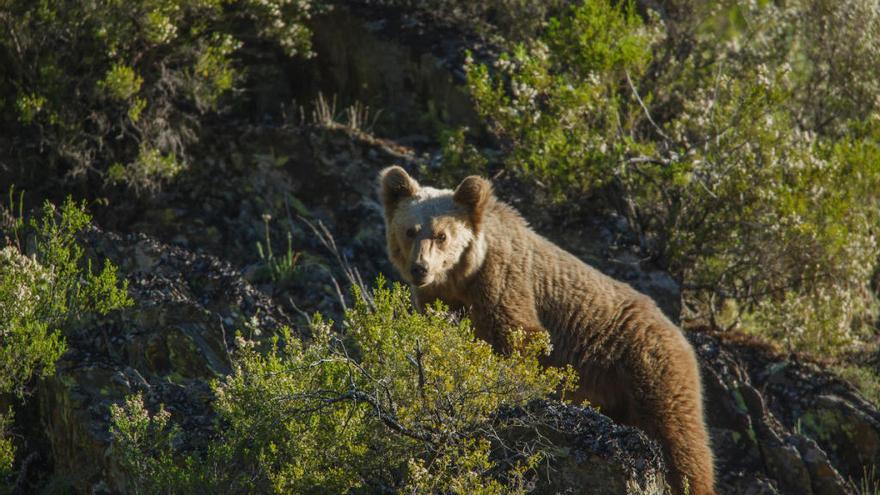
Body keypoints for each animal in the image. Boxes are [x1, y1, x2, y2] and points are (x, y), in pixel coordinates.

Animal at [378, 168, 716, 495]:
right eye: (410, 230)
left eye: (441, 235)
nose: (420, 268)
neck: (461, 278)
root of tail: (678, 332)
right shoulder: (439, 299)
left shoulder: (503, 282)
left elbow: (518, 338)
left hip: (648, 366)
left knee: (678, 437)